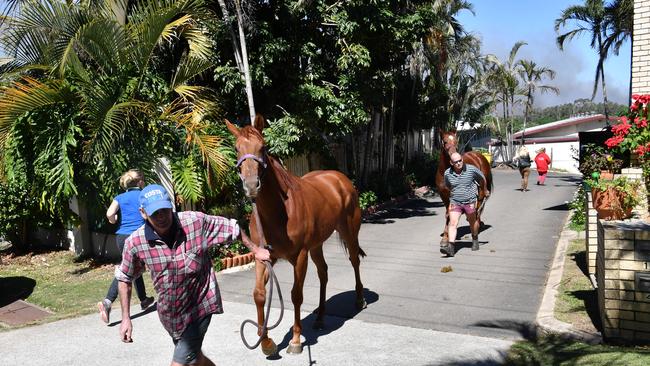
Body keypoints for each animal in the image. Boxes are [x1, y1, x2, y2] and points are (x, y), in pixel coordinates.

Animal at [224, 116, 364, 354]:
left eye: (263, 147)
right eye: (236, 148)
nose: (251, 186)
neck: (279, 213)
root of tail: (340, 179)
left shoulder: (299, 256)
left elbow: (296, 295)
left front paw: (296, 340)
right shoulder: (263, 256)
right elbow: (259, 294)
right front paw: (265, 341)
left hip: (349, 232)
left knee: (354, 261)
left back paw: (359, 300)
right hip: (316, 245)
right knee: (323, 272)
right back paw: (320, 318)